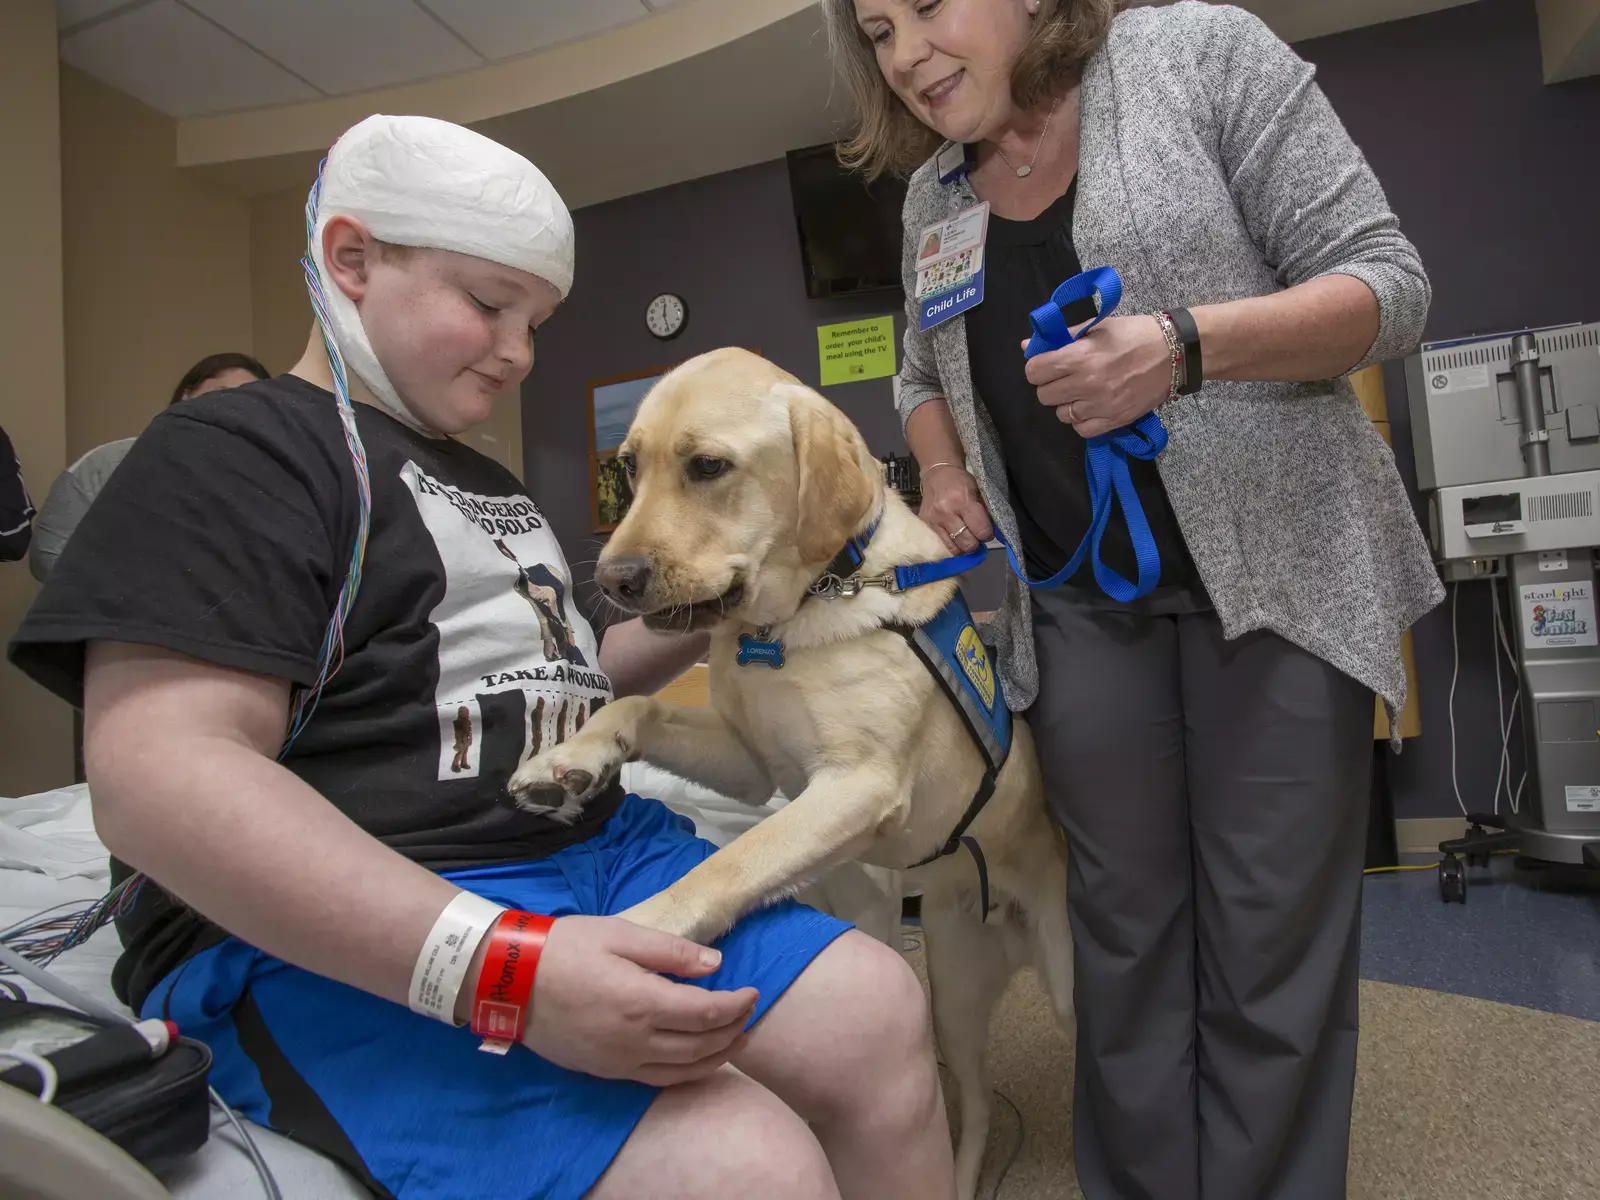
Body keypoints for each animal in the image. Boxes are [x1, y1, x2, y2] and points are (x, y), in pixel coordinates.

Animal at [505, 345, 1068, 1196]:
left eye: (708, 466)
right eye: (629, 466)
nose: (611, 580)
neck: (800, 609)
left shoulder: (856, 784)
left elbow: (733, 863)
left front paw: (642, 930)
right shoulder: (747, 763)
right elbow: (635, 709)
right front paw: (568, 761)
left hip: (1064, 986)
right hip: (953, 991)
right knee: (972, 1108)